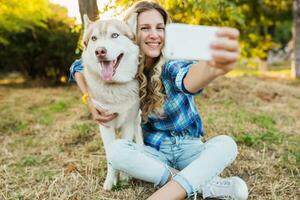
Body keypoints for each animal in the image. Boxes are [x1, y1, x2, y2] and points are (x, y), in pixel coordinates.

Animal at [81, 15, 144, 191]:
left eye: (115, 35)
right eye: (94, 38)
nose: (100, 51)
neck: (115, 88)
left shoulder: (128, 123)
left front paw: (125, 176)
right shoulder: (105, 125)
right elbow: (110, 154)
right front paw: (111, 180)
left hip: (137, 119)